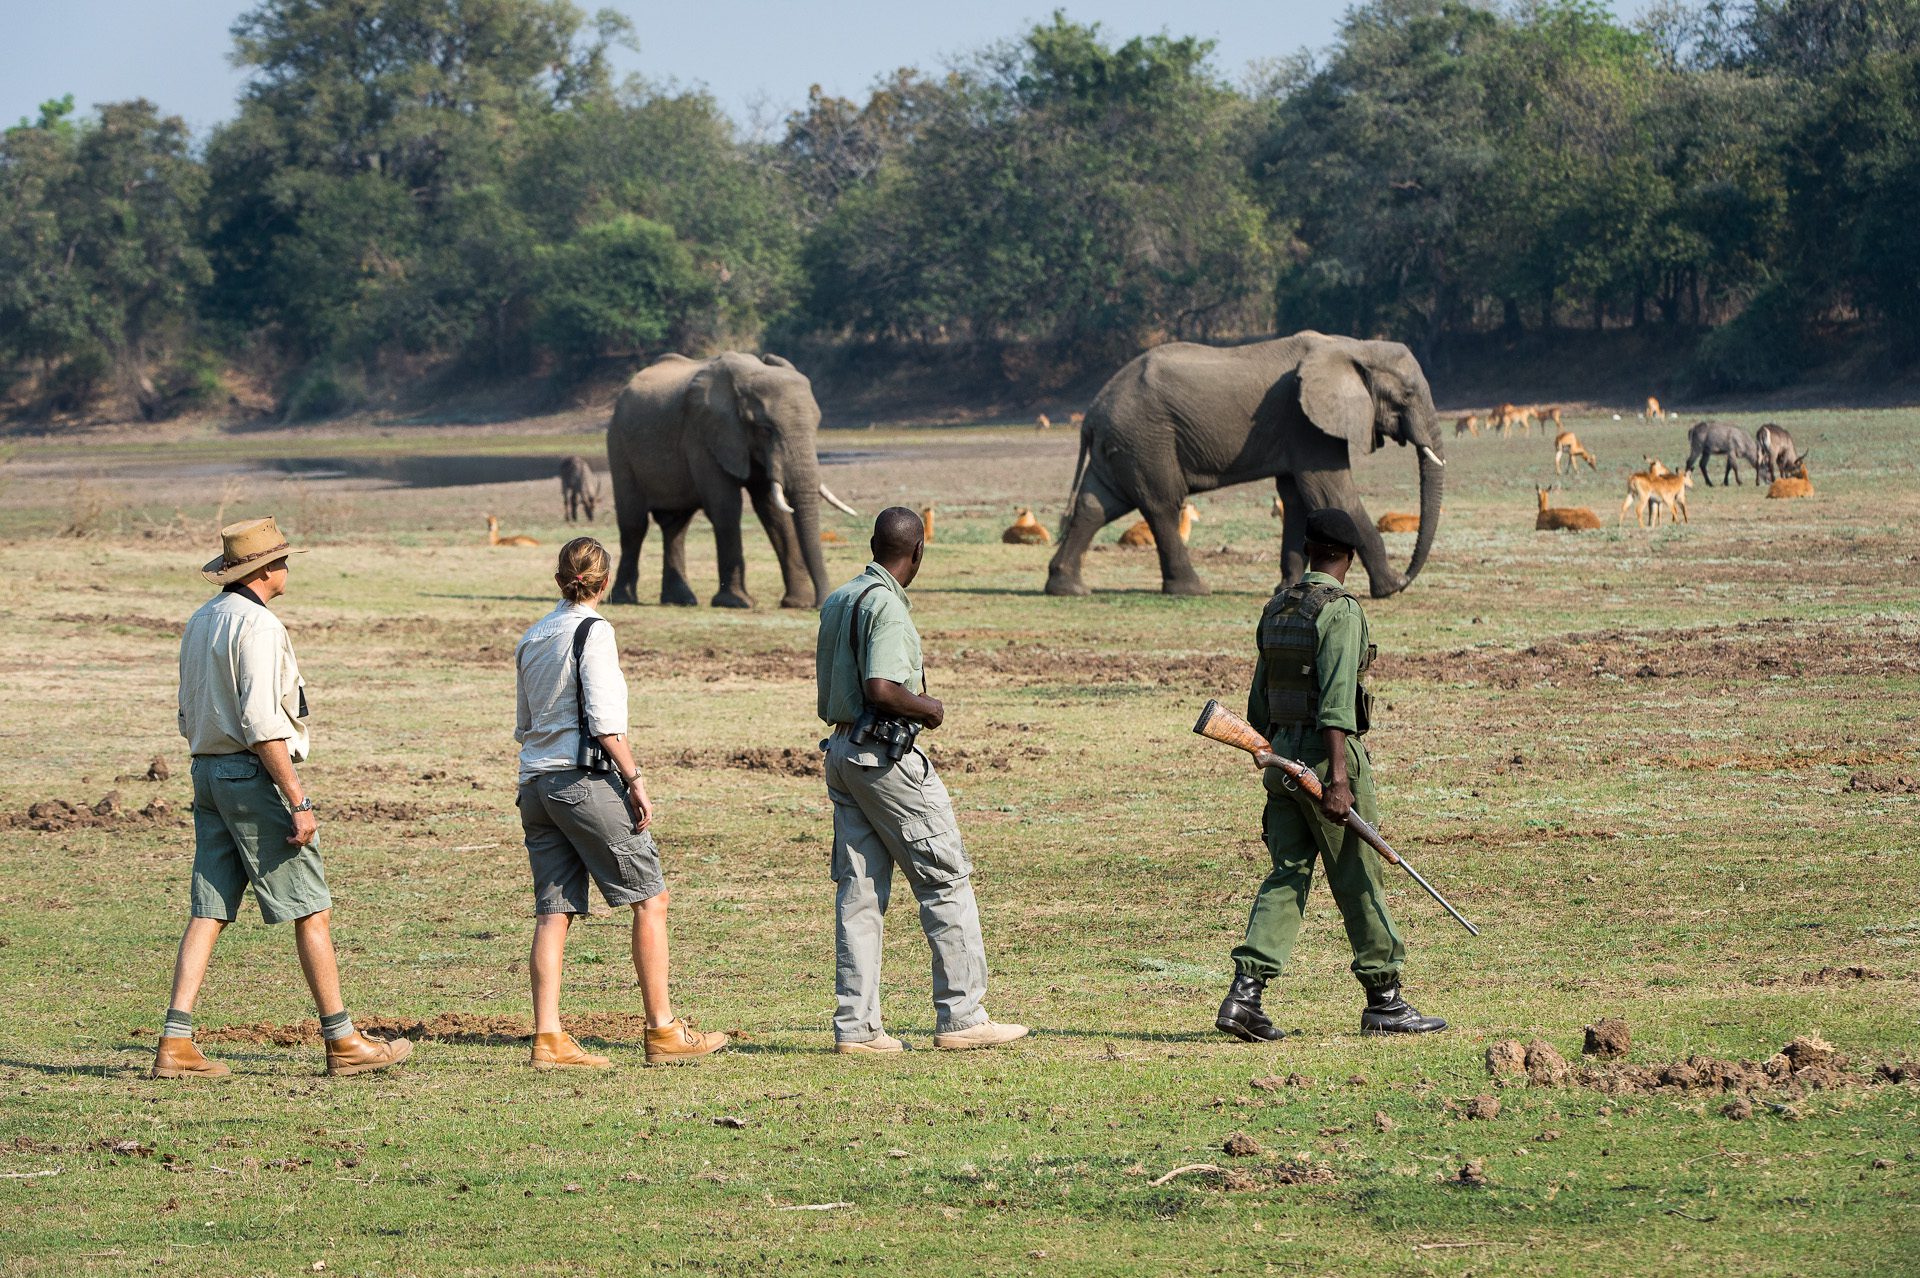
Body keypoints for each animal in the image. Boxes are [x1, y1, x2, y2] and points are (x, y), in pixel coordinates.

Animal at [599, 349, 856, 606]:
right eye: (765, 429)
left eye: (816, 425)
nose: (819, 603)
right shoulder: (704, 435)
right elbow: (726, 506)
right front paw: (737, 602)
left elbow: (773, 511)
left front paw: (796, 603)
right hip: (619, 445)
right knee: (635, 525)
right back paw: (625, 599)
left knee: (676, 526)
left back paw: (680, 600)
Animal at [1052, 330, 1443, 594]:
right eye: (1407, 395)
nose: (1407, 575)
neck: (1352, 345)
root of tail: (1091, 413)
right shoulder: (1306, 423)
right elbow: (1331, 494)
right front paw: (1390, 589)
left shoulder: (1298, 429)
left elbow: (1297, 499)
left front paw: (1287, 588)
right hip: (1146, 439)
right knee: (1161, 504)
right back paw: (1193, 590)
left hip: (1123, 444)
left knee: (1095, 505)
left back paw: (1068, 587)